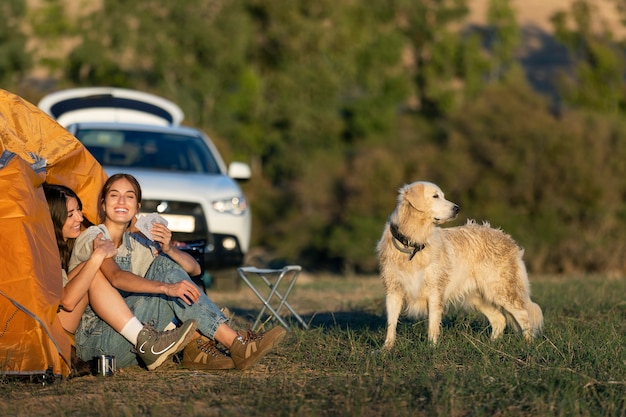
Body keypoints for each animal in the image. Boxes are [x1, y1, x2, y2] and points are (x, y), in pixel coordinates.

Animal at [376, 180, 540, 346]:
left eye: (442, 195)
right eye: (435, 196)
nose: (457, 208)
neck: (412, 243)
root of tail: (507, 238)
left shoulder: (435, 291)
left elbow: (433, 324)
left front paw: (431, 347)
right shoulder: (393, 291)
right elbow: (391, 324)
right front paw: (387, 348)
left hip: (500, 290)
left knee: (524, 315)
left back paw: (528, 345)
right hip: (477, 296)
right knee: (499, 319)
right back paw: (491, 343)